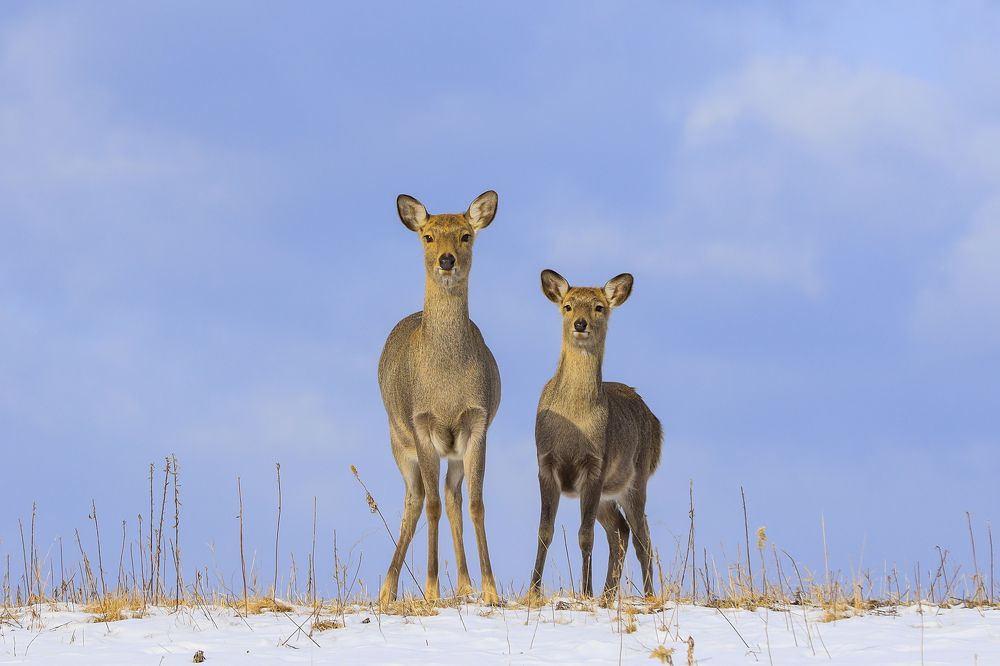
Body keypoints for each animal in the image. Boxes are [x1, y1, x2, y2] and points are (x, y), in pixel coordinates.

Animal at [377, 190, 501, 607]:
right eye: (428, 236)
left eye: (466, 235)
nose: (446, 259)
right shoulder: (421, 424)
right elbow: (429, 505)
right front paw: (430, 589)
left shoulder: (477, 424)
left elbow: (476, 504)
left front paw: (490, 589)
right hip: (398, 440)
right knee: (416, 499)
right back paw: (387, 588)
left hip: (454, 450)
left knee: (452, 496)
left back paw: (463, 583)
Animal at [528, 269, 662, 603]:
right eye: (567, 306)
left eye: (599, 307)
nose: (580, 323)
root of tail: (656, 422)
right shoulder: (544, 463)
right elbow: (544, 531)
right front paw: (533, 590)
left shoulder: (595, 465)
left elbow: (585, 535)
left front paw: (584, 591)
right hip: (607, 495)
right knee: (620, 531)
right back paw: (608, 594)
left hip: (636, 478)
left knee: (642, 537)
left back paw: (647, 594)